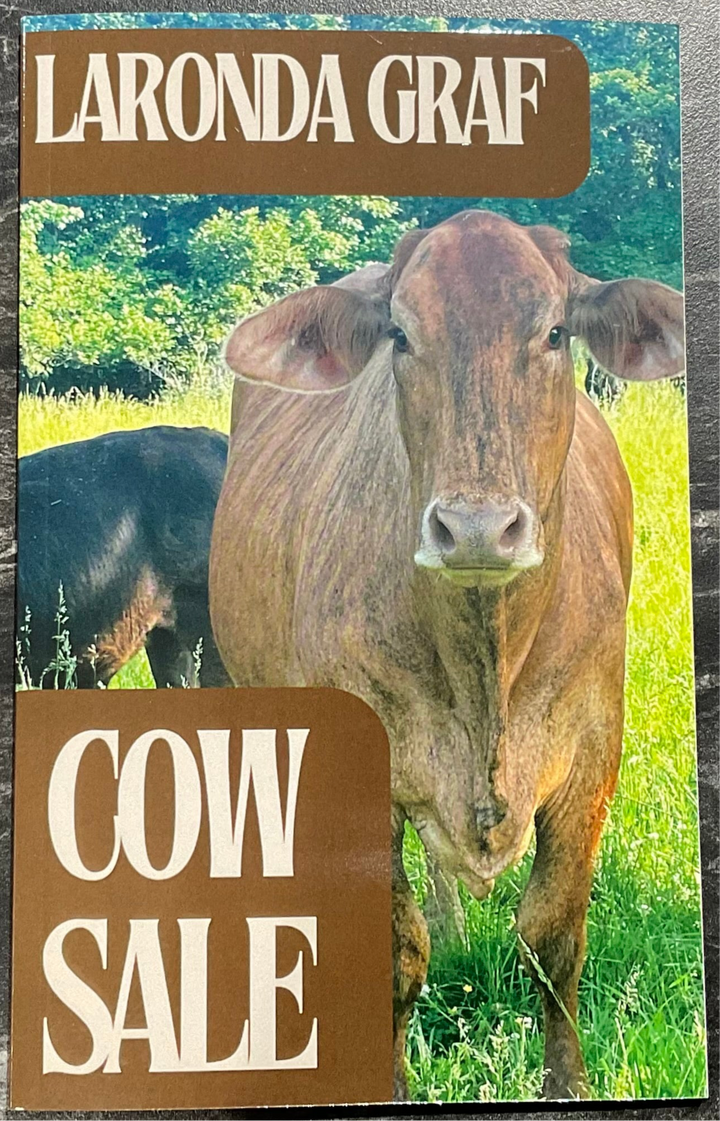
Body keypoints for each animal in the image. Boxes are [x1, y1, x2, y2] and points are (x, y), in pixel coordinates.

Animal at [209, 211, 685, 1099]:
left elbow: (553, 938)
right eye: (401, 333)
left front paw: (566, 1084)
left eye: (556, 331)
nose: (475, 528)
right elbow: (398, 951)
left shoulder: (593, 755)